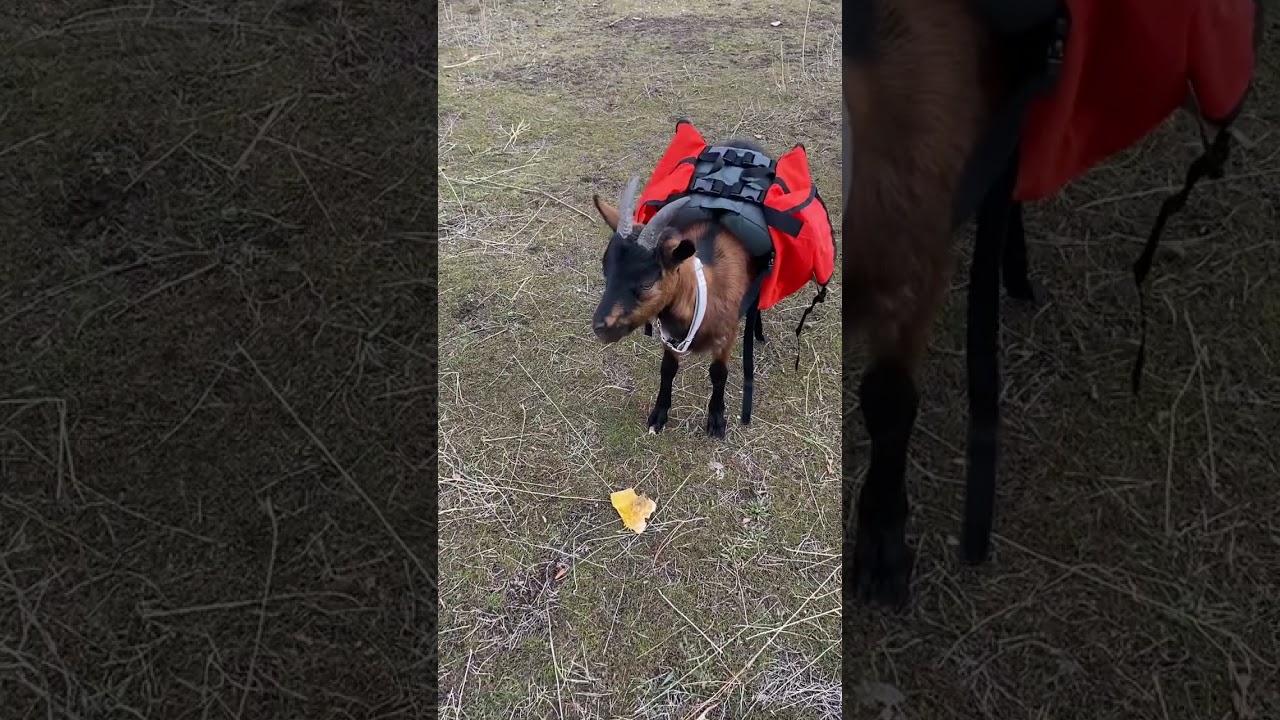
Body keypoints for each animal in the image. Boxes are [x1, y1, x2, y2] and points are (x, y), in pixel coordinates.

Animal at [590, 143, 772, 440]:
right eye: (607, 271)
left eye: (647, 283)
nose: (600, 327)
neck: (705, 292)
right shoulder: (671, 335)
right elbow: (668, 369)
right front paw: (658, 415)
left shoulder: (726, 336)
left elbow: (718, 373)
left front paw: (716, 421)